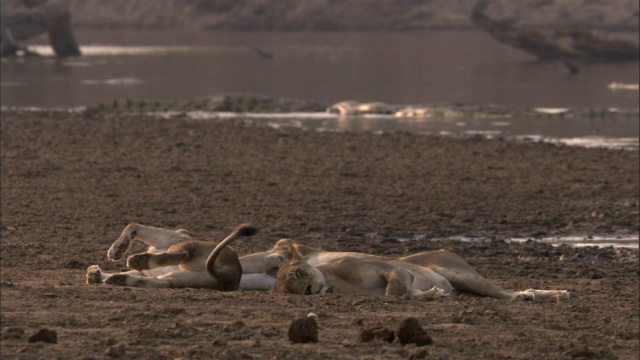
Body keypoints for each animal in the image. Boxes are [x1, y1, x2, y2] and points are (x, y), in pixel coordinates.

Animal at [85, 222, 255, 290]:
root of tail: (235, 270)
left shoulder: (170, 237)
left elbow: (133, 225)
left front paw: (117, 250)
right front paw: (95, 274)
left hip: (186, 245)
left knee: (184, 254)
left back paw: (140, 260)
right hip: (186, 278)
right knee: (162, 283)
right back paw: (118, 279)